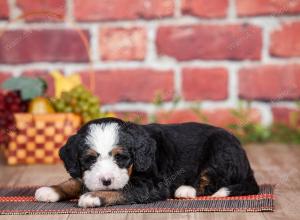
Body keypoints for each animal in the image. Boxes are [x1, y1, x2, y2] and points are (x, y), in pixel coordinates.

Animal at [35, 117, 258, 207]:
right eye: (90, 159)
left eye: (121, 157)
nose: (105, 180)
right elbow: (75, 181)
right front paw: (50, 190)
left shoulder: (151, 184)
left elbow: (122, 189)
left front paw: (92, 196)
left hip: (221, 149)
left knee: (213, 180)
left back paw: (186, 190)